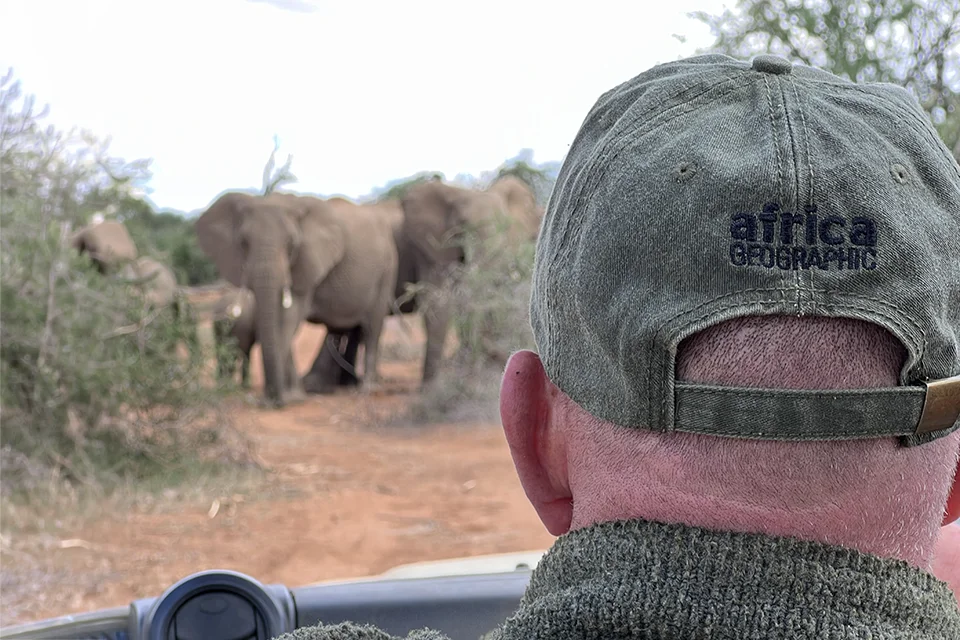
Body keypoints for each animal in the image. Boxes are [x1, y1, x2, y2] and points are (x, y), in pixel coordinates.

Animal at [195, 191, 399, 407]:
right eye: (243, 243)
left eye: (291, 244)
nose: (272, 401)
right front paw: (293, 397)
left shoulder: (308, 261)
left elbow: (287, 320)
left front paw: (288, 398)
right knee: (338, 329)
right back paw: (325, 387)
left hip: (387, 268)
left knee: (372, 327)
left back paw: (367, 389)